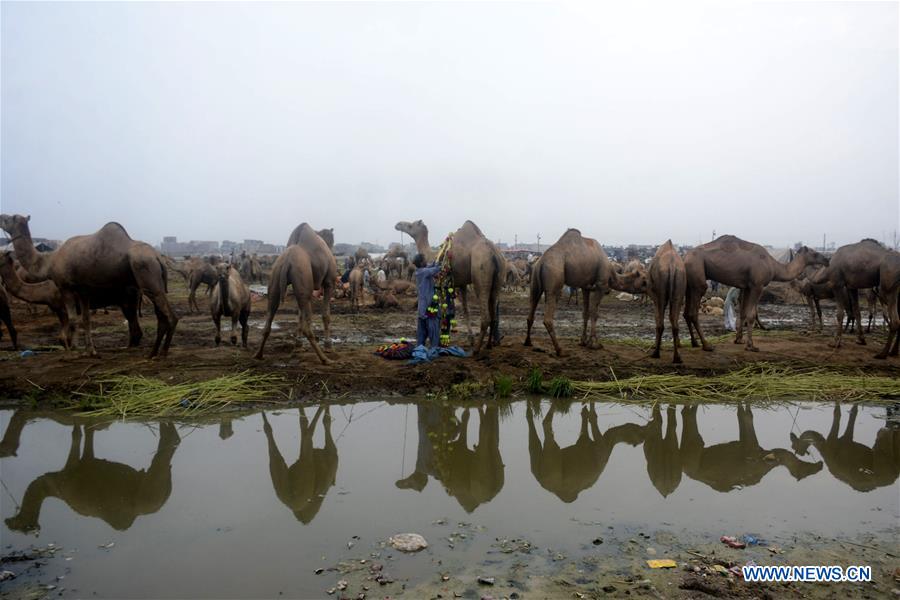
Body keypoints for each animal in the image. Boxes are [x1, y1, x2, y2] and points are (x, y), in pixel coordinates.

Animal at [0, 214, 177, 357]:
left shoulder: (65, 288)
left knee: (168, 316)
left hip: (145, 275)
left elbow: (71, 322)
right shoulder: (83, 291)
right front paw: (90, 351)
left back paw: (160, 352)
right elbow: (86, 319)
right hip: (148, 286)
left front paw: (74, 350)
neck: (49, 262)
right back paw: (153, 351)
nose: (1, 215)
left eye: (11, 218)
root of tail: (158, 257)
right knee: (155, 318)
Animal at [5, 422, 180, 533]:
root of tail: (164, 498)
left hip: (150, 491)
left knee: (162, 456)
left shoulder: (70, 473)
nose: (7, 521)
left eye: (20, 525)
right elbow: (88, 432)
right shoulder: (87, 462)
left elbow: (76, 434)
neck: (53, 486)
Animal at [255, 224, 336, 364]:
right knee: (308, 326)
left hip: (277, 278)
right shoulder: (329, 282)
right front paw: (328, 346)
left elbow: (299, 315)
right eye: (332, 240)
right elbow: (326, 315)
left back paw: (258, 355)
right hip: (303, 277)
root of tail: (287, 260)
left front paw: (298, 345)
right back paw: (325, 359)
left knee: (269, 317)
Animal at [396, 220, 506, 353]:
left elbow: (443, 311)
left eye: (410, 225)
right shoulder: (461, 284)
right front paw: (469, 338)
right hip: (499, 277)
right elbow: (464, 309)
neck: (433, 256)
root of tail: (493, 253)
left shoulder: (441, 283)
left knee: (486, 317)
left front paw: (441, 340)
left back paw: (476, 349)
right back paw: (489, 345)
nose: (398, 224)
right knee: (494, 316)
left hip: (480, 271)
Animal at [683, 235, 828, 352]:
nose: (827, 259)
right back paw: (707, 345)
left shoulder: (747, 287)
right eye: (815, 253)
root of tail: (685, 258)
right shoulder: (757, 286)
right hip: (697, 275)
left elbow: (743, 313)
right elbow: (751, 315)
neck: (773, 266)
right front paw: (751, 346)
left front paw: (738, 340)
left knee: (686, 313)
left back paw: (694, 343)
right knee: (693, 312)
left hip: (689, 282)